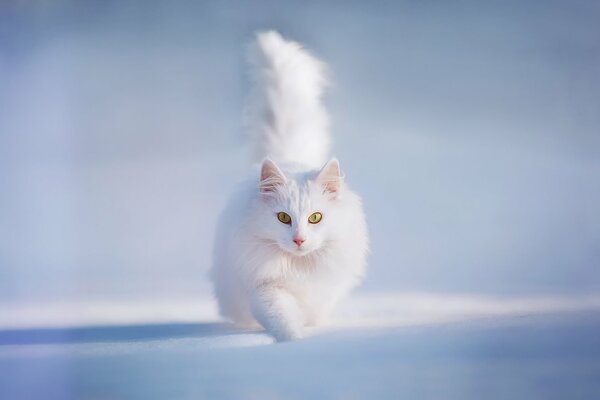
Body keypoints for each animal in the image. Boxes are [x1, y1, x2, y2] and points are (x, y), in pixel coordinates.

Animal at [211, 31, 370, 342]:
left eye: (316, 217)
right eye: (283, 218)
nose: (298, 240)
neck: (299, 268)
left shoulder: (323, 290)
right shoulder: (265, 288)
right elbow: (281, 317)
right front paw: (294, 342)